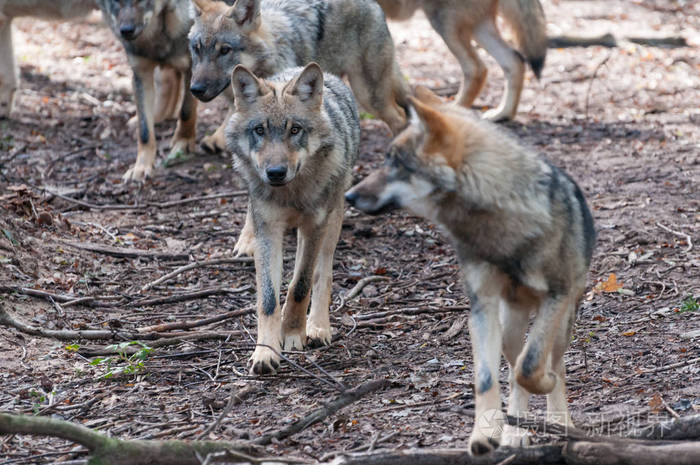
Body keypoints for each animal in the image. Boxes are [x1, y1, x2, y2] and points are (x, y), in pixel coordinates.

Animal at [94, 0, 198, 180]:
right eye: (115, 1)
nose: (126, 30)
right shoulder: (141, 75)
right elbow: (144, 131)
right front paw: (141, 166)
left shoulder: (194, 70)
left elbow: (186, 111)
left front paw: (183, 143)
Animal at [190, 0, 410, 154]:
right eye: (196, 49)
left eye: (224, 50)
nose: (195, 89)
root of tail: (374, 4)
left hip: (368, 96)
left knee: (400, 118)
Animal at [227, 62, 360, 374]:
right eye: (260, 130)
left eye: (295, 130)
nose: (275, 172)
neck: (291, 193)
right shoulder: (268, 231)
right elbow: (268, 299)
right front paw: (265, 351)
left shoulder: (315, 226)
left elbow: (300, 287)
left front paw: (293, 334)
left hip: (332, 221)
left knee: (322, 274)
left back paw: (318, 328)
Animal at [344, 87, 596, 454]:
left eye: (396, 163)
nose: (348, 195)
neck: (499, 229)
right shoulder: (483, 306)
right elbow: (489, 378)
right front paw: (485, 433)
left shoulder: (557, 294)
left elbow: (533, 365)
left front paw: (546, 395)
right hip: (509, 327)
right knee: (514, 368)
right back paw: (515, 433)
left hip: (562, 320)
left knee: (552, 363)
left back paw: (559, 421)